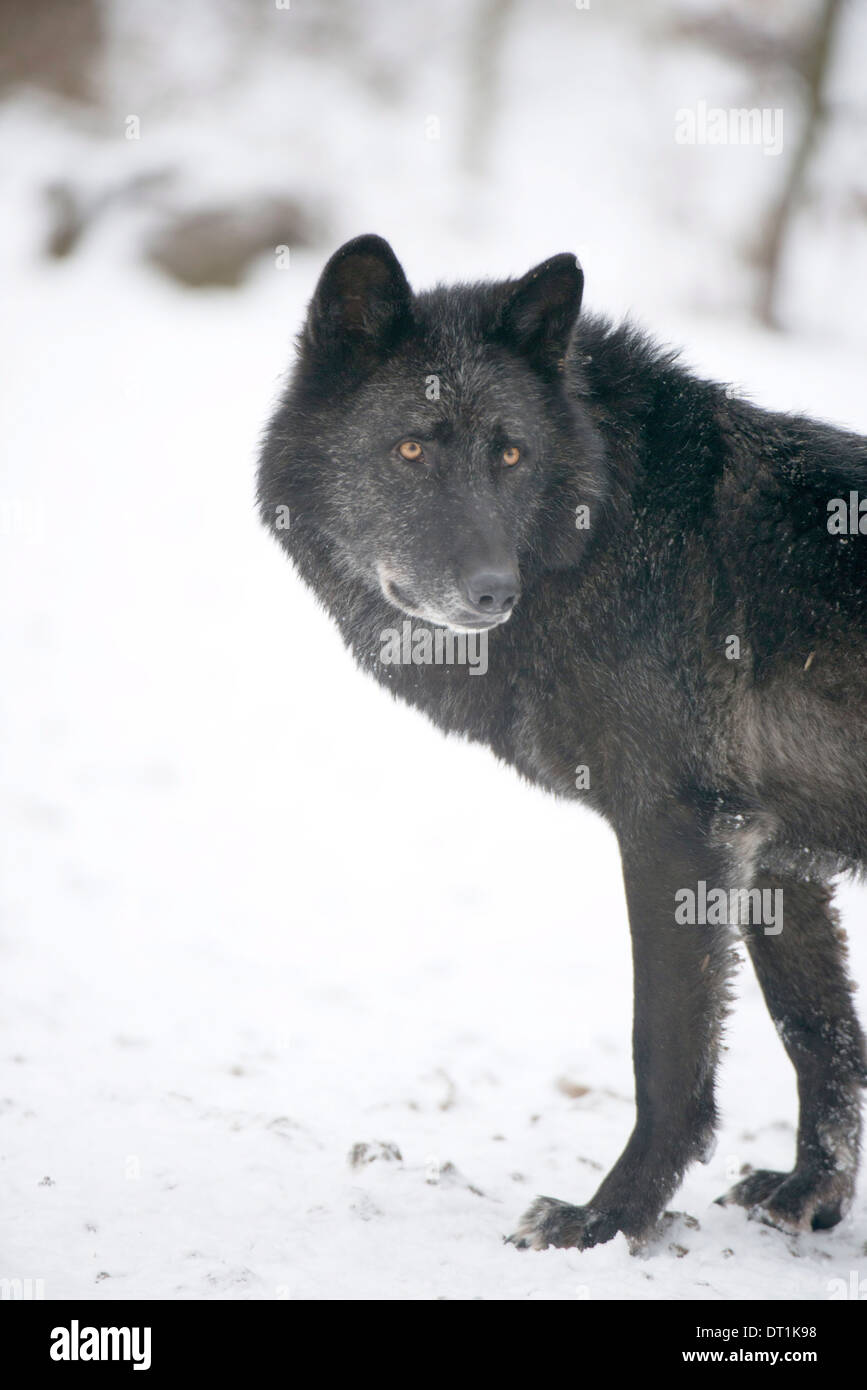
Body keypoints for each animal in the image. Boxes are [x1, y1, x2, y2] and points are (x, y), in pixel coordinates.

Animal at [257, 230, 867, 1251]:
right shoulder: (775, 855)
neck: (607, 529)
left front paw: (606, 1219)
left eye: (510, 453)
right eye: (410, 448)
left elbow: (665, 1056)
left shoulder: (678, 833)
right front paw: (809, 1196)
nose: (490, 591)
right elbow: (818, 1037)